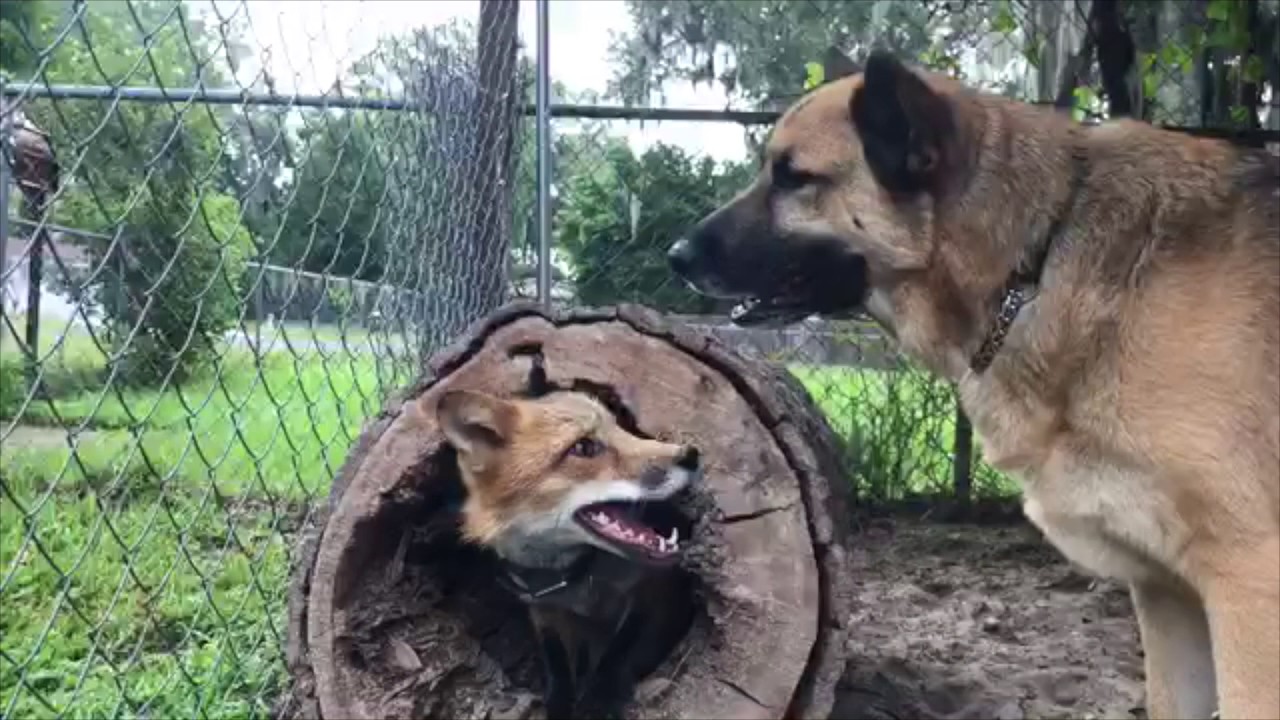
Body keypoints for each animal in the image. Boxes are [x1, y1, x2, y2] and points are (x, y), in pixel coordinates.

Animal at [435, 388, 702, 719]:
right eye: (584, 447)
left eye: (620, 427)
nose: (691, 454)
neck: (578, 584)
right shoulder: (543, 610)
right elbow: (557, 665)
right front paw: (561, 703)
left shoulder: (656, 594)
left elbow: (620, 651)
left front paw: (597, 699)